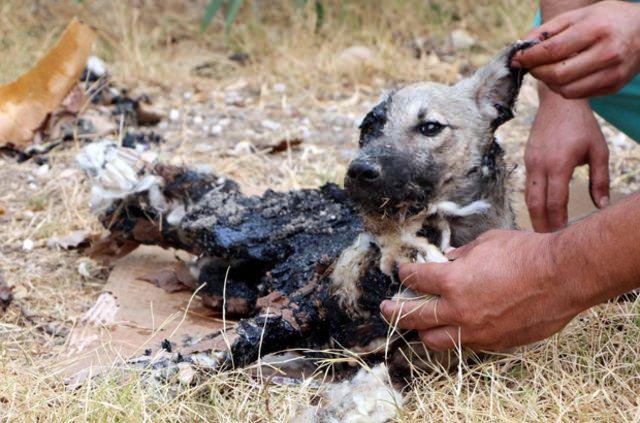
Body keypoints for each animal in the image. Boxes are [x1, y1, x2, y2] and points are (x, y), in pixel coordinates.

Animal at [77, 41, 532, 422]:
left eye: (431, 127)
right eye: (369, 128)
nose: (359, 172)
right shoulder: (294, 310)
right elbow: (221, 348)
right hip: (231, 229)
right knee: (176, 208)